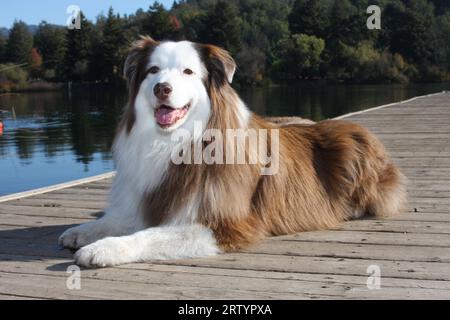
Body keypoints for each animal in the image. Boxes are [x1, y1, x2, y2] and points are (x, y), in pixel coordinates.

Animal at [58, 37, 406, 268]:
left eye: (187, 72)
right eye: (153, 70)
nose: (162, 88)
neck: (176, 141)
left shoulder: (228, 224)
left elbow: (151, 235)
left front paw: (103, 249)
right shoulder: (147, 197)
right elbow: (119, 219)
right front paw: (83, 232)